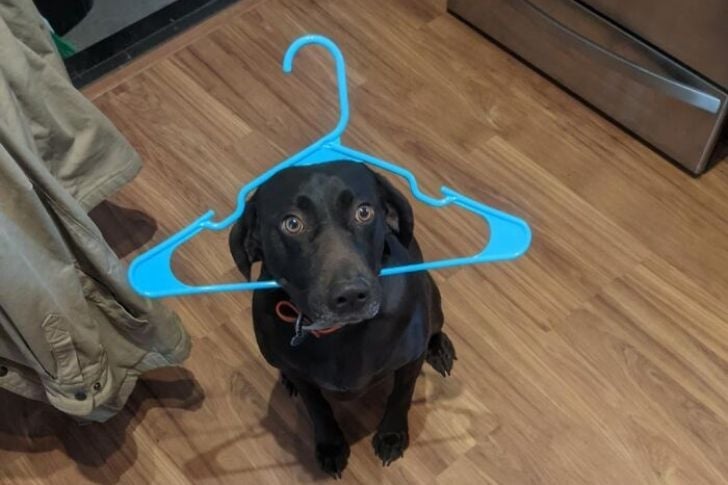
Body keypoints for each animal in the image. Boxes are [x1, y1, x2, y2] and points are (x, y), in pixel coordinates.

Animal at [229, 161, 455, 477]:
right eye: (292, 223)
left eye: (364, 212)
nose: (350, 295)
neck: (340, 333)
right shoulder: (306, 379)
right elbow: (318, 408)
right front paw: (331, 446)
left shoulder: (410, 362)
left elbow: (401, 396)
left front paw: (391, 436)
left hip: (432, 301)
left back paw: (439, 349)